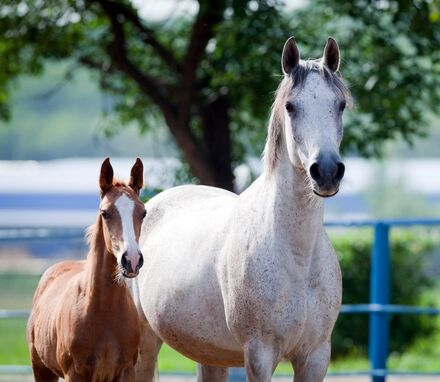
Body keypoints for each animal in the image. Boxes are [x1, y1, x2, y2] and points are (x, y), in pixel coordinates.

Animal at [27, 157, 148, 380]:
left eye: (143, 213)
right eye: (105, 213)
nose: (132, 260)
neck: (105, 310)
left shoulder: (127, 371)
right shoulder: (74, 373)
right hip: (40, 369)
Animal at [133, 36, 350, 382]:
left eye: (340, 105)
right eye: (290, 107)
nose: (327, 171)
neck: (297, 257)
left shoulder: (315, 356)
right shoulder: (259, 354)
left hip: (208, 354)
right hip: (145, 343)